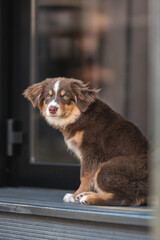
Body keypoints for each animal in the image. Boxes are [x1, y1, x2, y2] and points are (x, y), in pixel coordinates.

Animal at [23, 77, 149, 206]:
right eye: (48, 96)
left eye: (66, 96)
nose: (52, 109)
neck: (78, 116)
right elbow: (88, 177)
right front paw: (78, 194)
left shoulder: (91, 150)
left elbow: (85, 175)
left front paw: (74, 196)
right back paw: (86, 195)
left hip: (108, 167)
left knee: (125, 198)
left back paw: (88, 198)